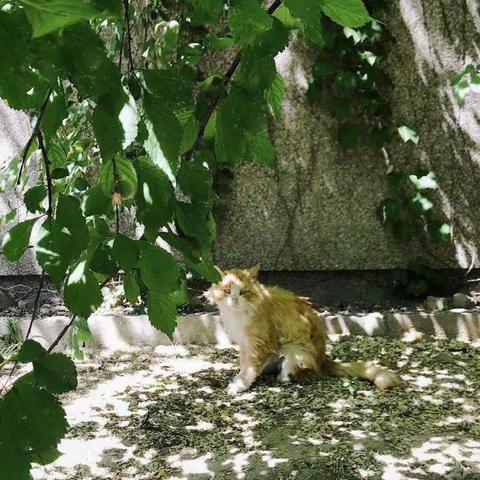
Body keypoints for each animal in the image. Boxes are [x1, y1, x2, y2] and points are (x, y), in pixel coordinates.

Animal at [204, 264, 400, 396]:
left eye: (243, 292)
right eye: (227, 291)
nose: (234, 299)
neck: (238, 314)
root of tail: (323, 358)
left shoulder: (260, 343)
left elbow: (249, 369)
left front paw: (239, 384)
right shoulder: (245, 342)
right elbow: (244, 363)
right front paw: (239, 377)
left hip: (295, 350)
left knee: (308, 374)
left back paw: (283, 377)